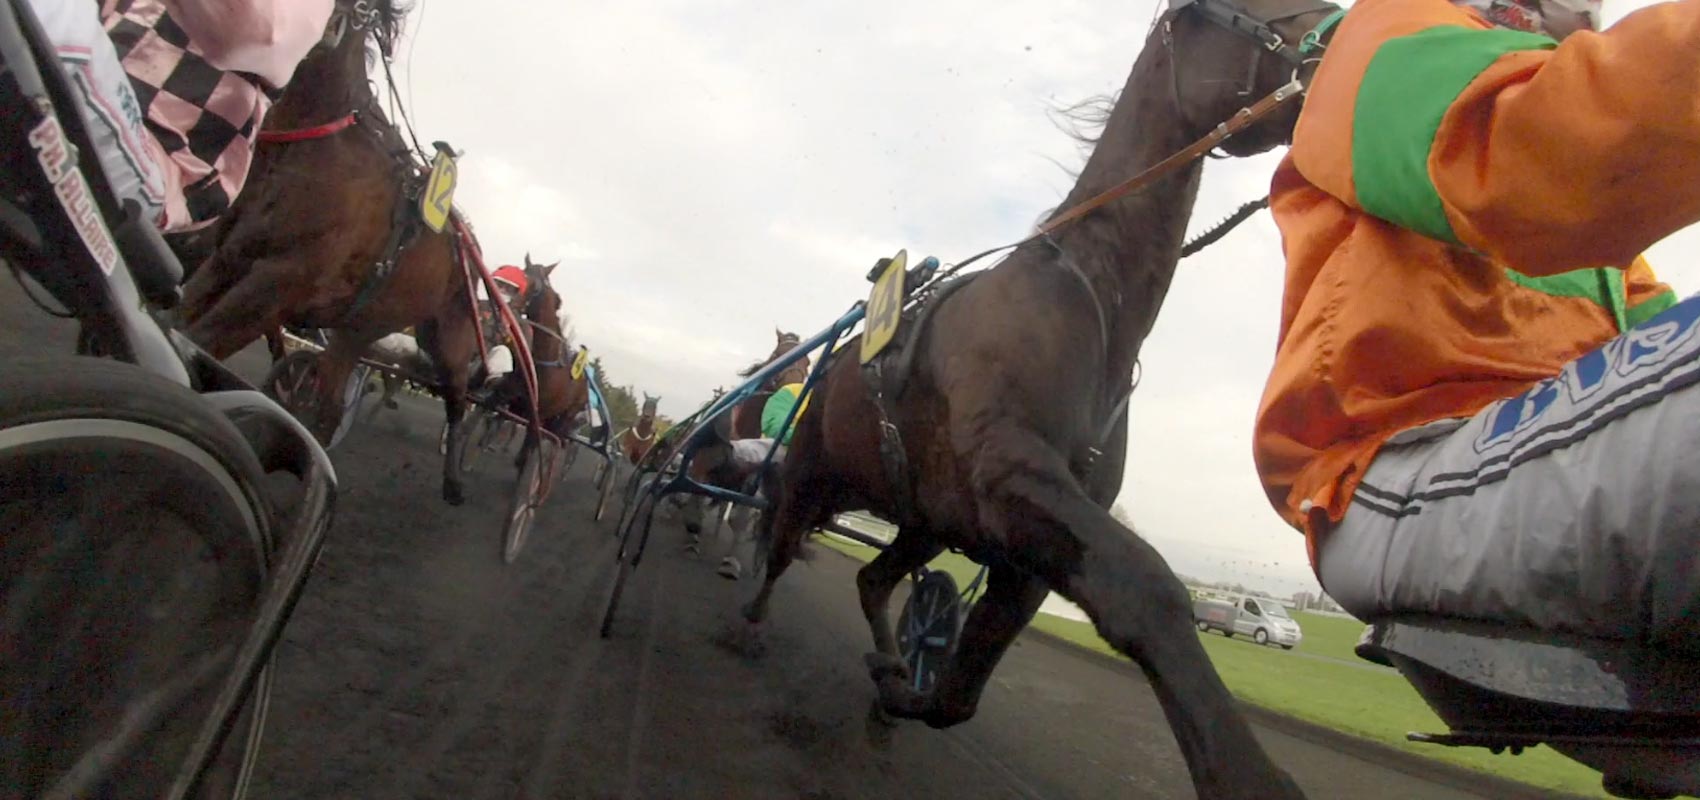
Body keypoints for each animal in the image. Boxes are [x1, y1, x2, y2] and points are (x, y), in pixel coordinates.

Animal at [744, 3, 1339, 798]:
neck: (1082, 300)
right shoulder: (1014, 478)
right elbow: (1147, 589)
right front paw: (1246, 771)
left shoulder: (1028, 548)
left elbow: (958, 698)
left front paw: (900, 685)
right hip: (815, 476)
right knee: (780, 541)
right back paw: (750, 615)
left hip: (924, 519)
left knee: (872, 578)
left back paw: (888, 665)